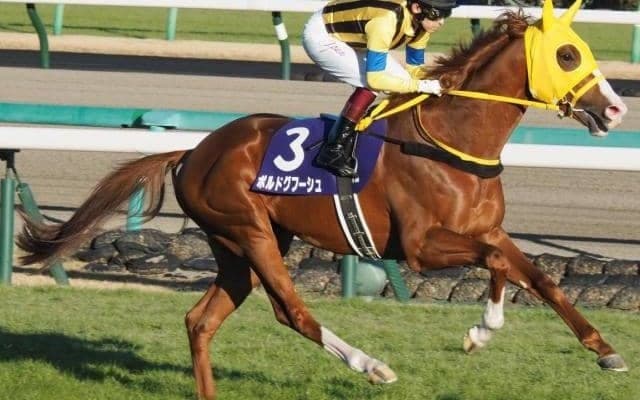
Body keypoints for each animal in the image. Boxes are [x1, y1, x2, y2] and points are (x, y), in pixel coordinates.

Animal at [17, 2, 629, 399]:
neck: (451, 137)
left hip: (240, 245)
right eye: (568, 55)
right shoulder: (421, 248)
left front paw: (604, 350)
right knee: (291, 310)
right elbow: (501, 264)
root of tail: (193, 150)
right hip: (249, 232)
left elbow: (538, 276)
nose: (616, 108)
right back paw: (371, 365)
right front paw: (482, 330)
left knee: (199, 320)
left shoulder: (487, 230)